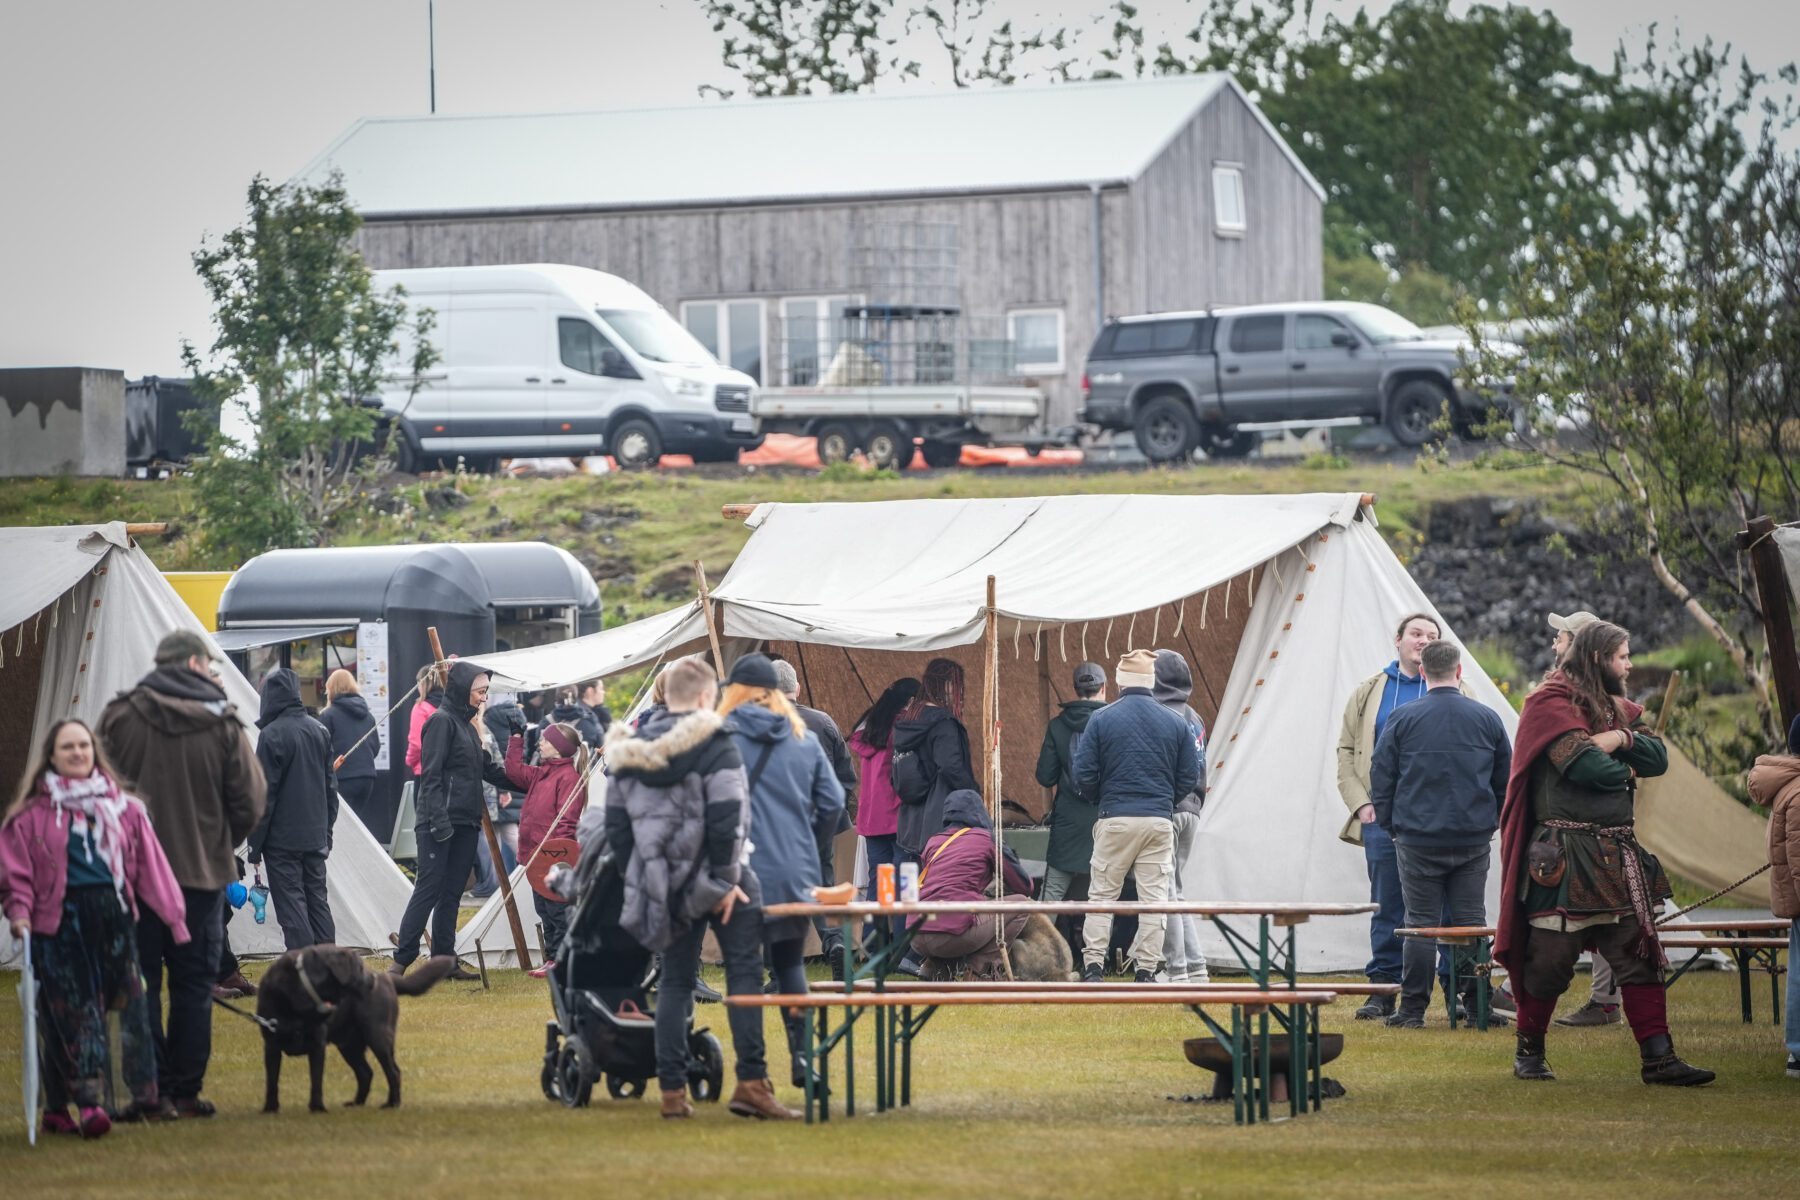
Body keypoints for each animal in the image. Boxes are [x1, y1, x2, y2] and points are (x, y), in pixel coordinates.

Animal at [257, 947, 455, 1113]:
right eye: (358, 967)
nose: (372, 980)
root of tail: (387, 978)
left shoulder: (317, 1045)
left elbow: (316, 1080)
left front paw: (317, 1108)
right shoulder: (271, 1046)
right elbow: (272, 1081)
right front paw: (270, 1109)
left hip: (378, 1037)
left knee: (393, 1071)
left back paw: (391, 1104)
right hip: (348, 1046)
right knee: (366, 1073)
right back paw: (357, 1103)